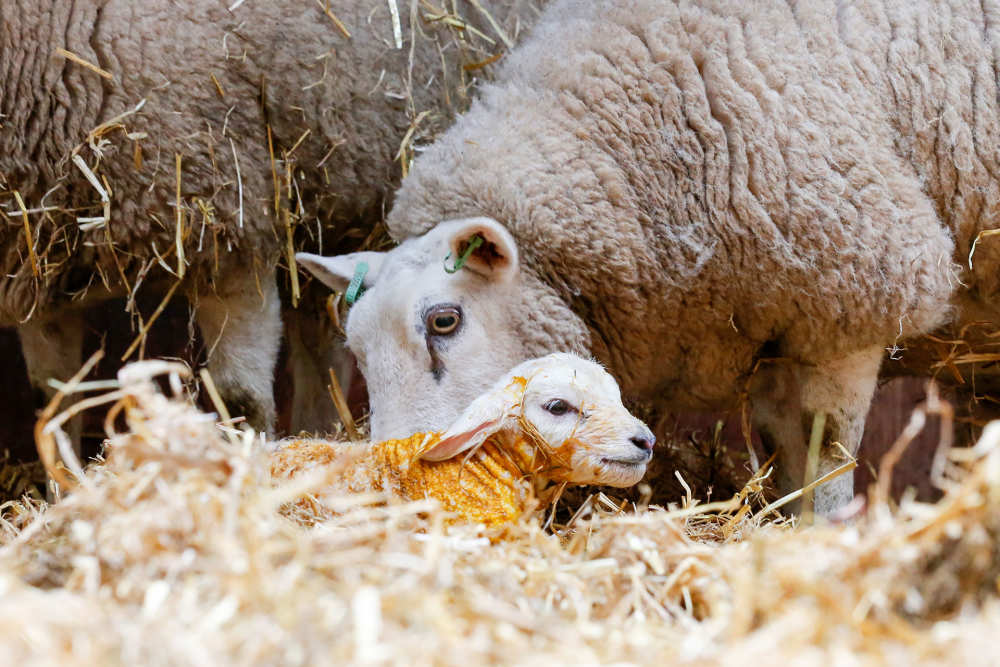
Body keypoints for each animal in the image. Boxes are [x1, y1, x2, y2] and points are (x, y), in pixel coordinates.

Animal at [294, 0, 1000, 516]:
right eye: (356, 351)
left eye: (445, 321)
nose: (396, 483)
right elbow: (783, 450)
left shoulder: (855, 294)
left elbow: (823, 461)